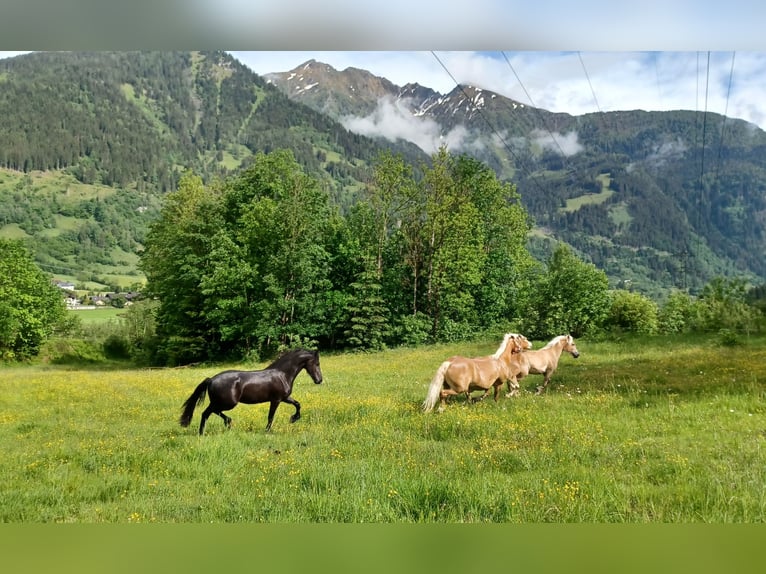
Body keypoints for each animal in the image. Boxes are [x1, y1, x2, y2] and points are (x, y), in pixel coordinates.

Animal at [181, 346, 324, 436]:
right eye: (317, 363)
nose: (319, 380)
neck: (282, 374)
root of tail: (211, 379)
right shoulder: (276, 400)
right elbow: (271, 416)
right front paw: (267, 431)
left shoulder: (285, 398)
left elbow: (298, 404)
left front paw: (293, 418)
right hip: (227, 403)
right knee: (208, 412)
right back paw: (221, 425)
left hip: (221, 403)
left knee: (208, 413)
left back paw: (208, 430)